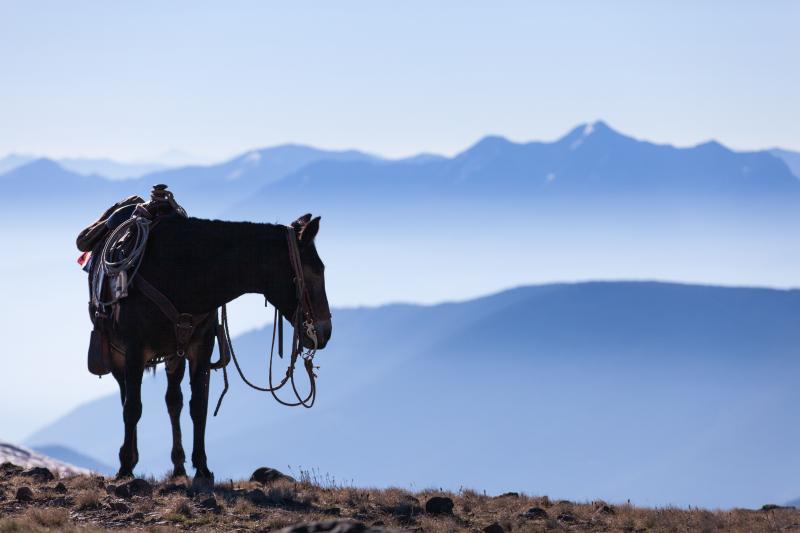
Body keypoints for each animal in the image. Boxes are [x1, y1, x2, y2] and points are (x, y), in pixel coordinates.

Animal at [105, 213, 332, 481]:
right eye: (315, 271)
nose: (326, 332)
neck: (180, 273)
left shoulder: (201, 348)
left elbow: (198, 406)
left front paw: (202, 468)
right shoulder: (134, 349)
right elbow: (132, 408)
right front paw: (124, 468)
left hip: (174, 357)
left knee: (174, 401)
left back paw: (179, 466)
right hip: (118, 358)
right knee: (127, 397)